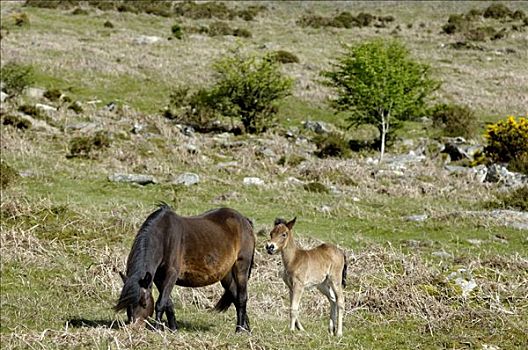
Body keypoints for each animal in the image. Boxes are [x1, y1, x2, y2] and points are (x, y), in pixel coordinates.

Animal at [115, 204, 256, 332]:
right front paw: (173, 328)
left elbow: (160, 303)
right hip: (226, 275)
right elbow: (168, 303)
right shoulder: (158, 278)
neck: (164, 237)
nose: (134, 328)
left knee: (242, 297)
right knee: (235, 296)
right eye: (127, 305)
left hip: (241, 267)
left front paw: (157, 329)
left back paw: (239, 329)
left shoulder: (171, 274)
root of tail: (244, 220)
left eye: (144, 303)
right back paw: (246, 328)